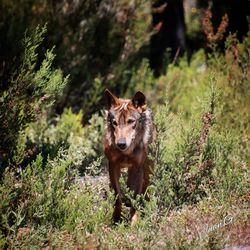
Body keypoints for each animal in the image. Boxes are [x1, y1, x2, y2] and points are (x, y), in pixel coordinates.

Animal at [103, 90, 154, 225]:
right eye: (114, 123)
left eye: (131, 121)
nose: (121, 144)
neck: (126, 152)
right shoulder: (113, 165)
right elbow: (117, 196)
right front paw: (116, 219)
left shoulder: (138, 167)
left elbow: (135, 195)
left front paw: (135, 221)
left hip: (147, 169)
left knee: (144, 191)